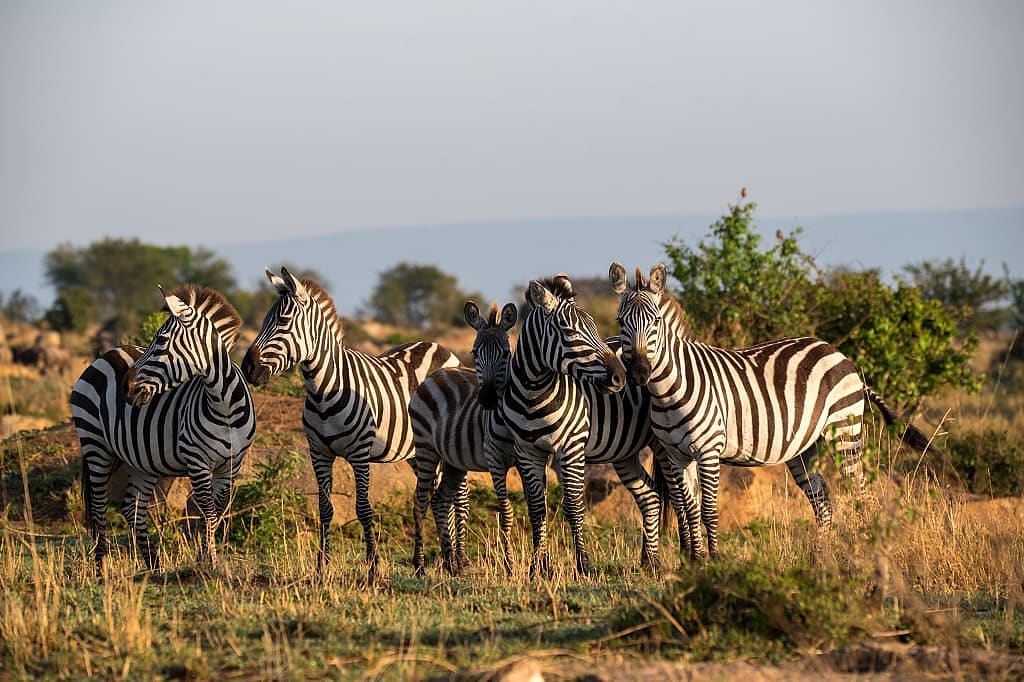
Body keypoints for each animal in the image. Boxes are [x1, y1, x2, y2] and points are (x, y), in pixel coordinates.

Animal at [71, 284, 255, 573]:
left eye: (162, 341)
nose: (126, 389)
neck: (223, 404)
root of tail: (110, 352)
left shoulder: (232, 464)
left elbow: (216, 511)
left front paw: (205, 559)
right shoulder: (197, 461)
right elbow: (207, 511)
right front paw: (210, 562)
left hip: (139, 459)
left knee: (133, 508)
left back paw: (154, 567)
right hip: (94, 443)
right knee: (100, 508)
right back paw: (101, 571)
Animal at [241, 266, 459, 580]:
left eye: (282, 321)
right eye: (262, 321)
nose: (247, 368)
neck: (323, 390)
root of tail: (439, 346)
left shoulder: (359, 454)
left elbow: (364, 508)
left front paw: (373, 567)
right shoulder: (319, 453)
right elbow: (325, 508)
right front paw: (321, 566)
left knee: (451, 499)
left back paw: (454, 561)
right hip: (417, 453)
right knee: (430, 497)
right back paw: (433, 562)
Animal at [409, 300, 520, 576]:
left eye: (506, 353)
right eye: (475, 352)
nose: (487, 399)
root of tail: (436, 374)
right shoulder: (495, 460)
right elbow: (505, 510)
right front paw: (510, 567)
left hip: (453, 461)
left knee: (440, 500)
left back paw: (451, 564)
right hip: (426, 450)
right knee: (420, 501)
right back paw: (419, 565)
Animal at [500, 274, 697, 578]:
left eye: (594, 326)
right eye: (569, 332)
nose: (620, 378)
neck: (533, 395)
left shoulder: (571, 448)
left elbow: (573, 506)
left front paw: (583, 565)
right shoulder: (527, 452)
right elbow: (536, 509)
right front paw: (538, 568)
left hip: (665, 444)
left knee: (677, 497)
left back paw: (685, 557)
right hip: (624, 452)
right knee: (651, 496)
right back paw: (649, 561)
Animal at [609, 262, 936, 559]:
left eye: (655, 322)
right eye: (620, 322)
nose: (638, 373)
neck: (669, 390)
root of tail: (838, 353)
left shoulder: (708, 451)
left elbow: (708, 511)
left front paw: (714, 562)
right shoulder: (677, 455)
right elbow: (689, 510)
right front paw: (694, 562)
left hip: (844, 430)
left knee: (862, 493)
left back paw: (868, 552)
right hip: (806, 447)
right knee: (822, 500)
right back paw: (822, 556)